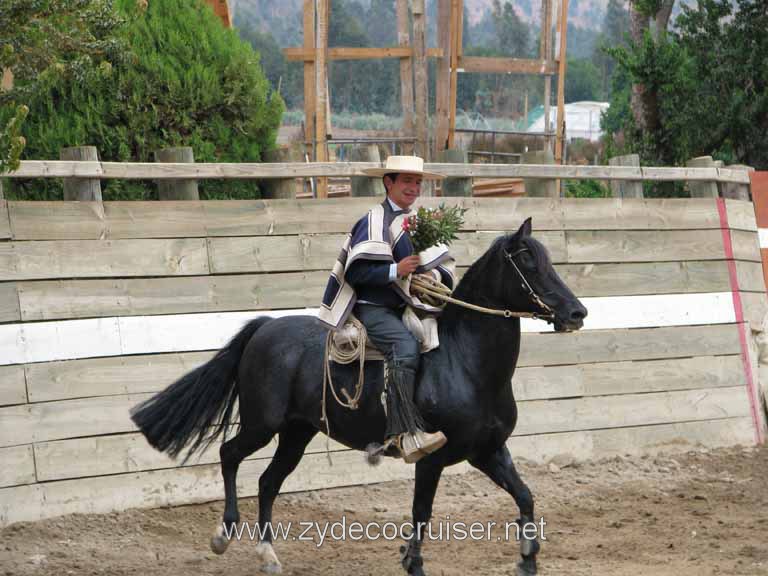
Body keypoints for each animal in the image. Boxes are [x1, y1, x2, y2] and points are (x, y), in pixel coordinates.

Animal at [134, 218, 588, 572]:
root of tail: (265, 327)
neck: (465, 361)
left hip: (297, 433)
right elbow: (421, 514)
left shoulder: (487, 451)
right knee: (230, 455)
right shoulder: (432, 458)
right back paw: (224, 534)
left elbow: (525, 496)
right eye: (528, 260)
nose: (576, 312)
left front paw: (528, 559)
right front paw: (412, 562)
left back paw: (268, 555)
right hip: (262, 423)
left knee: (267, 481)